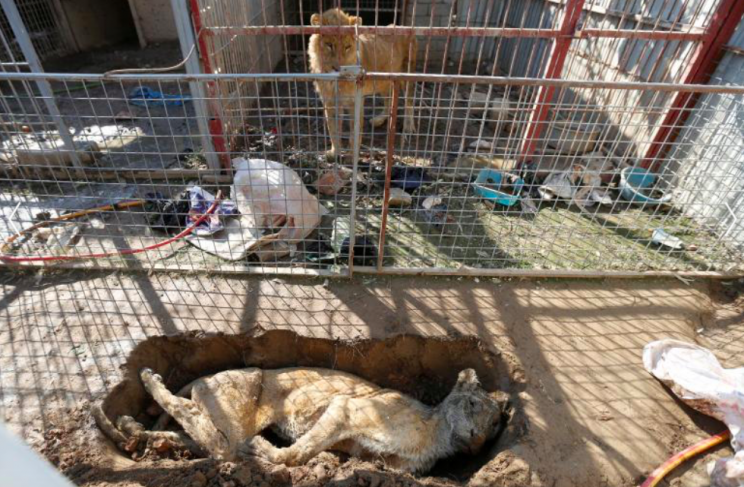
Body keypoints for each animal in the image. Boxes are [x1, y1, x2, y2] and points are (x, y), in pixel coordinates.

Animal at [94, 368, 506, 474]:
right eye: (471, 403)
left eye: (493, 424)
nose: (475, 438)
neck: (439, 435)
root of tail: (205, 377)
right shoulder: (345, 408)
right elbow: (299, 453)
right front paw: (268, 454)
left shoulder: (377, 457)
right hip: (235, 412)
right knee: (214, 439)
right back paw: (148, 379)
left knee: (192, 434)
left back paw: (131, 428)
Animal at [306, 7, 416, 160]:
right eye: (329, 45)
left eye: (347, 47)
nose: (338, 69)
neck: (335, 82)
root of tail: (403, 27)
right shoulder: (330, 102)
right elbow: (333, 129)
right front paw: (335, 153)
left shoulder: (356, 101)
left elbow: (355, 131)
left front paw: (353, 156)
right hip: (384, 81)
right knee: (389, 100)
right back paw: (379, 120)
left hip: (408, 74)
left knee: (409, 102)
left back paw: (408, 127)